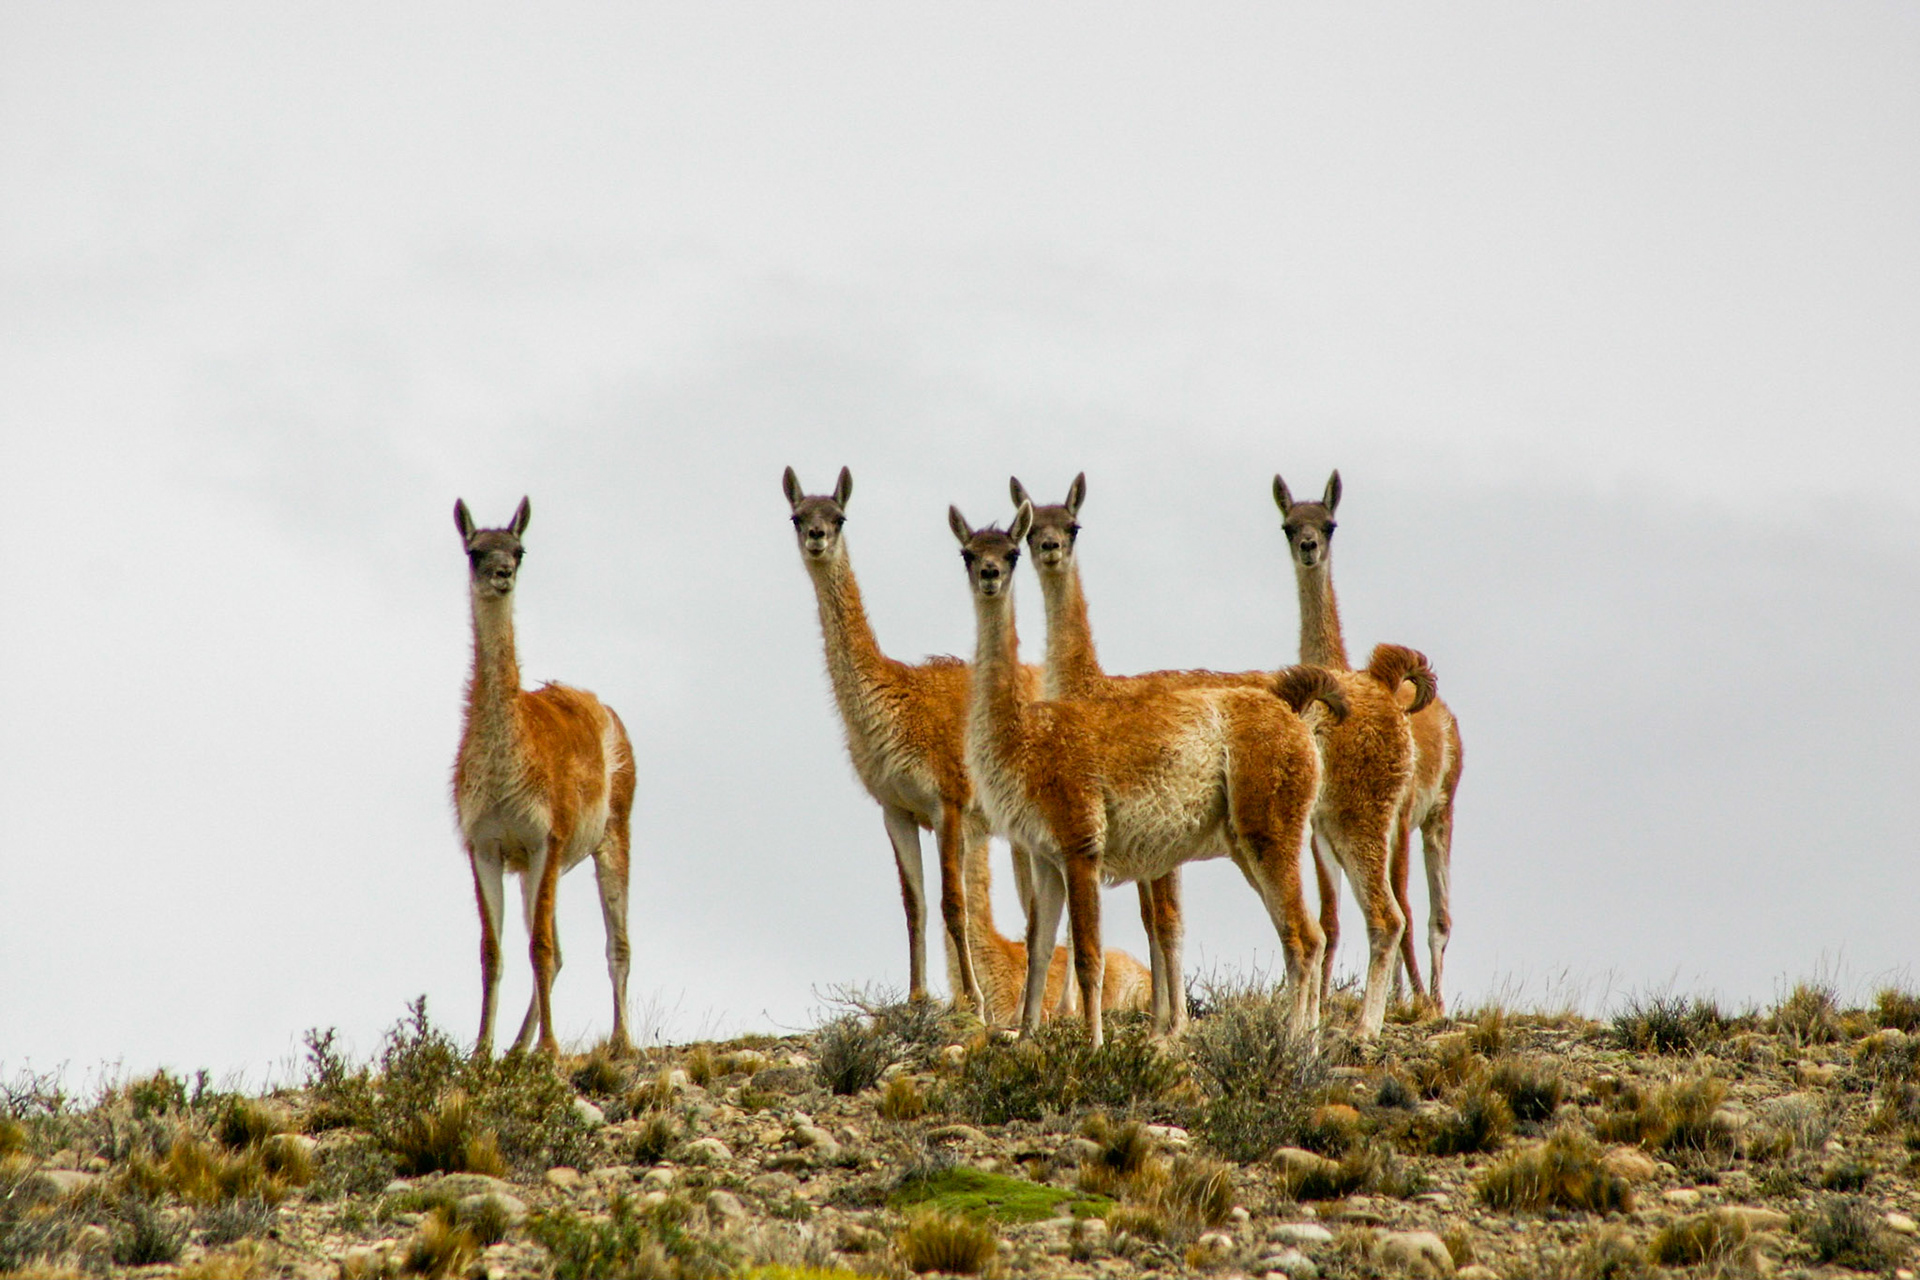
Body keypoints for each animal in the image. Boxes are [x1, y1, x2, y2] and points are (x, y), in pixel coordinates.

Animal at [452, 497, 636, 1057]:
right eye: (474, 551)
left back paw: (621, 1041)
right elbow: (493, 950)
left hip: (611, 835)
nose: (502, 574)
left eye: (519, 550)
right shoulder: (487, 845)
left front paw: (552, 1050)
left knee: (616, 943)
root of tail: (600, 705)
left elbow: (540, 946)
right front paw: (481, 1051)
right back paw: (519, 1047)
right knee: (558, 952)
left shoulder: (543, 839)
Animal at [952, 500, 1345, 1047]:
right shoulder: (1046, 855)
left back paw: (1292, 1043)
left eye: (1009, 553)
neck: (1025, 737)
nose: (990, 574)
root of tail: (1288, 710)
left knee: (1302, 936)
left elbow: (1087, 955)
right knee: (1308, 934)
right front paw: (1027, 1038)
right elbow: (1038, 947)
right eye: (967, 554)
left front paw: (1095, 1045)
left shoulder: (1081, 843)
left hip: (1270, 826)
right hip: (1249, 840)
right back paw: (1304, 1037)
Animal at [1012, 474, 1436, 1038]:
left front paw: (1168, 1029)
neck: (1094, 690)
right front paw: (1163, 1025)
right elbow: (1156, 924)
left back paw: (1362, 1029)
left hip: (1358, 816)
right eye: (1031, 527)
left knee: (1385, 917)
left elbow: (1164, 923)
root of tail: (1381, 687)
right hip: (1327, 828)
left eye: (1072, 525)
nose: (1049, 548)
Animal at [1275, 471, 1464, 1013]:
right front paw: (1316, 1002)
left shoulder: (1392, 818)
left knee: (1434, 916)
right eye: (1288, 525)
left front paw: (1417, 1001)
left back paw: (1429, 999)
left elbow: (1404, 911)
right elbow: (1331, 921)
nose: (1309, 547)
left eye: (1330, 524)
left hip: (1435, 814)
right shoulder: (1319, 831)